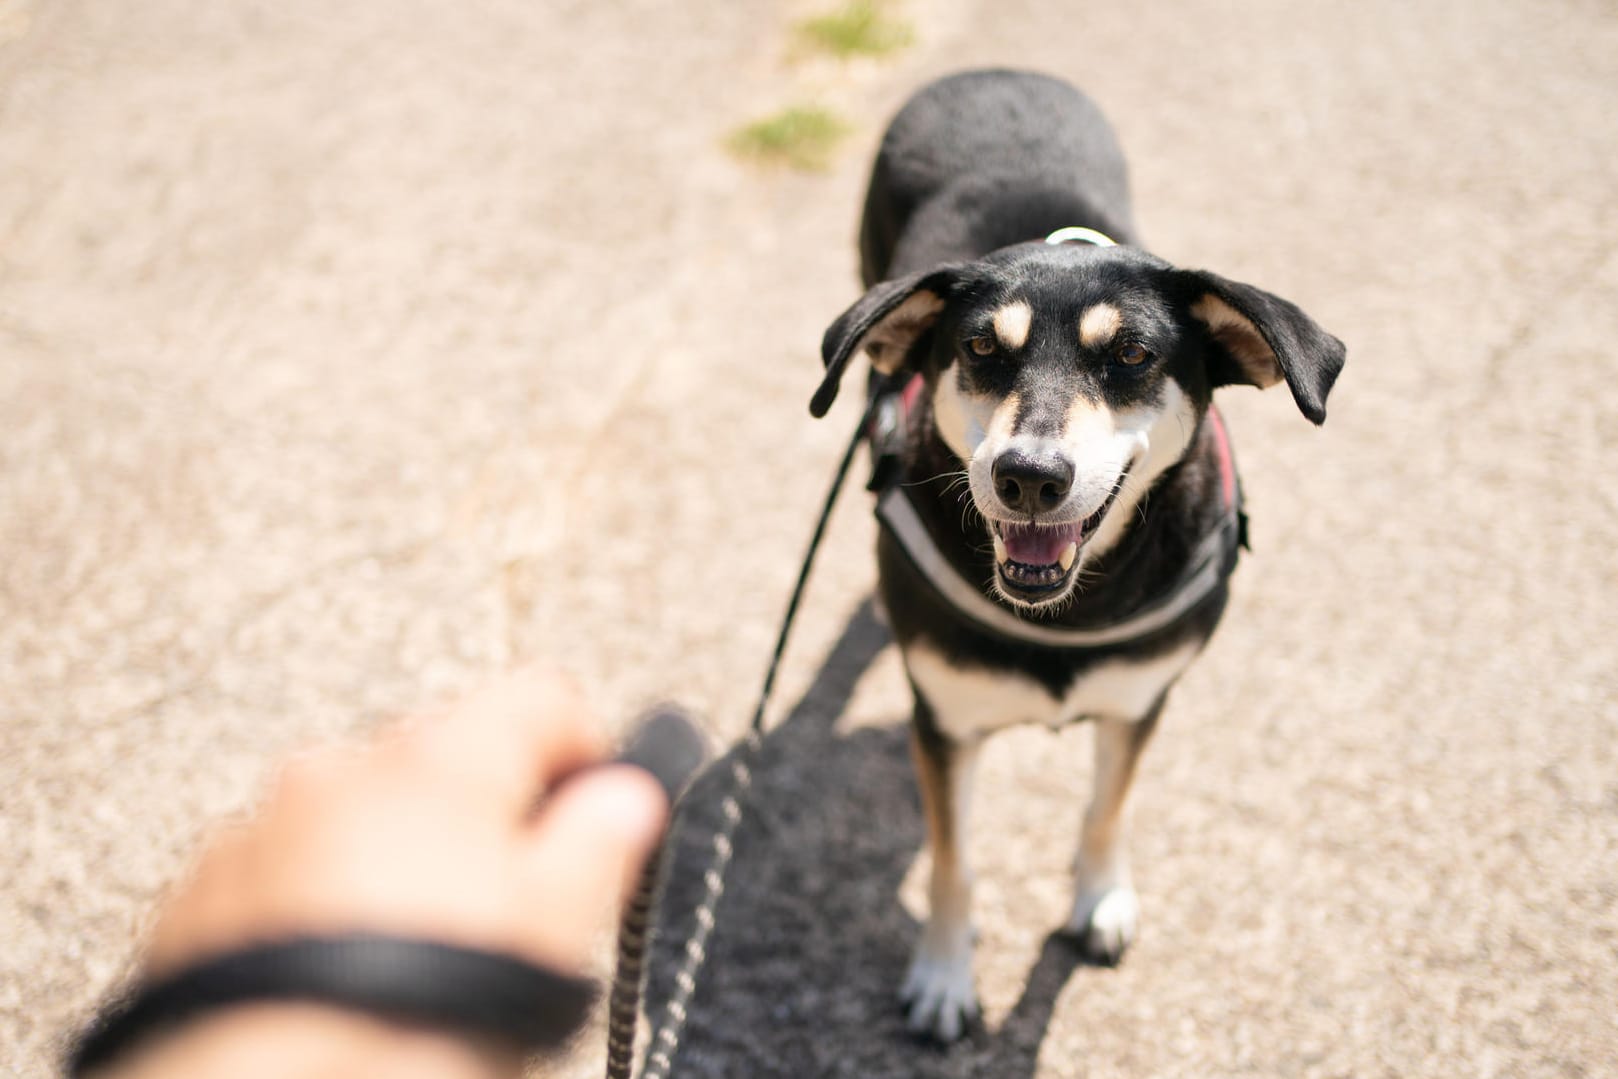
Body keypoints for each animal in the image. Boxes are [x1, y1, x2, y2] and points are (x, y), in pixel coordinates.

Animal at [809, 69, 1352, 1048]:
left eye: (1132, 352)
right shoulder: (943, 721)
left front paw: (1099, 900)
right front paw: (944, 974)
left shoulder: (1142, 699)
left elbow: (1108, 805)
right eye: (979, 347)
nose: (1029, 477)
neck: (1066, 609)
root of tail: (991, 72)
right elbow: (952, 860)